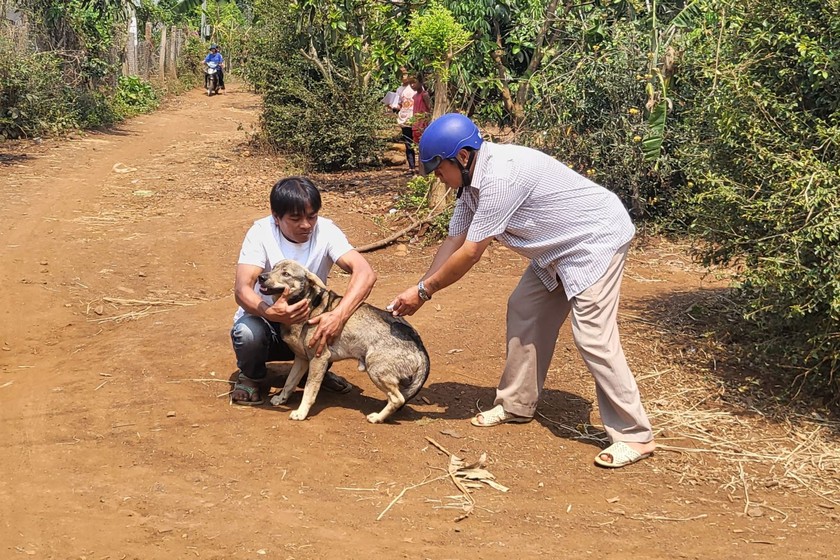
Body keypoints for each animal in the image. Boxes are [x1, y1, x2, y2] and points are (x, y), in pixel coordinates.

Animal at [256, 260, 430, 422]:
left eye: (286, 274)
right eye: (273, 267)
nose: (261, 277)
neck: (308, 305)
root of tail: (419, 343)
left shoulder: (318, 359)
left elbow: (309, 391)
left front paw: (301, 412)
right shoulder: (301, 359)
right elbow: (289, 383)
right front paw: (281, 398)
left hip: (375, 370)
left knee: (398, 399)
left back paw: (377, 418)